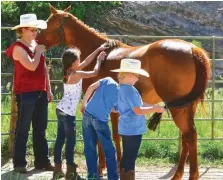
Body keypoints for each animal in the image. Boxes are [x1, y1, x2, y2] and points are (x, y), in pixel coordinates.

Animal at [37, 4, 211, 180]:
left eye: (47, 24)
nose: (36, 41)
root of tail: (193, 49)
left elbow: (106, 136)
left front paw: (103, 168)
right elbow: (115, 135)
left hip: (179, 109)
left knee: (189, 136)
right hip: (187, 107)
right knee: (187, 137)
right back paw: (178, 174)